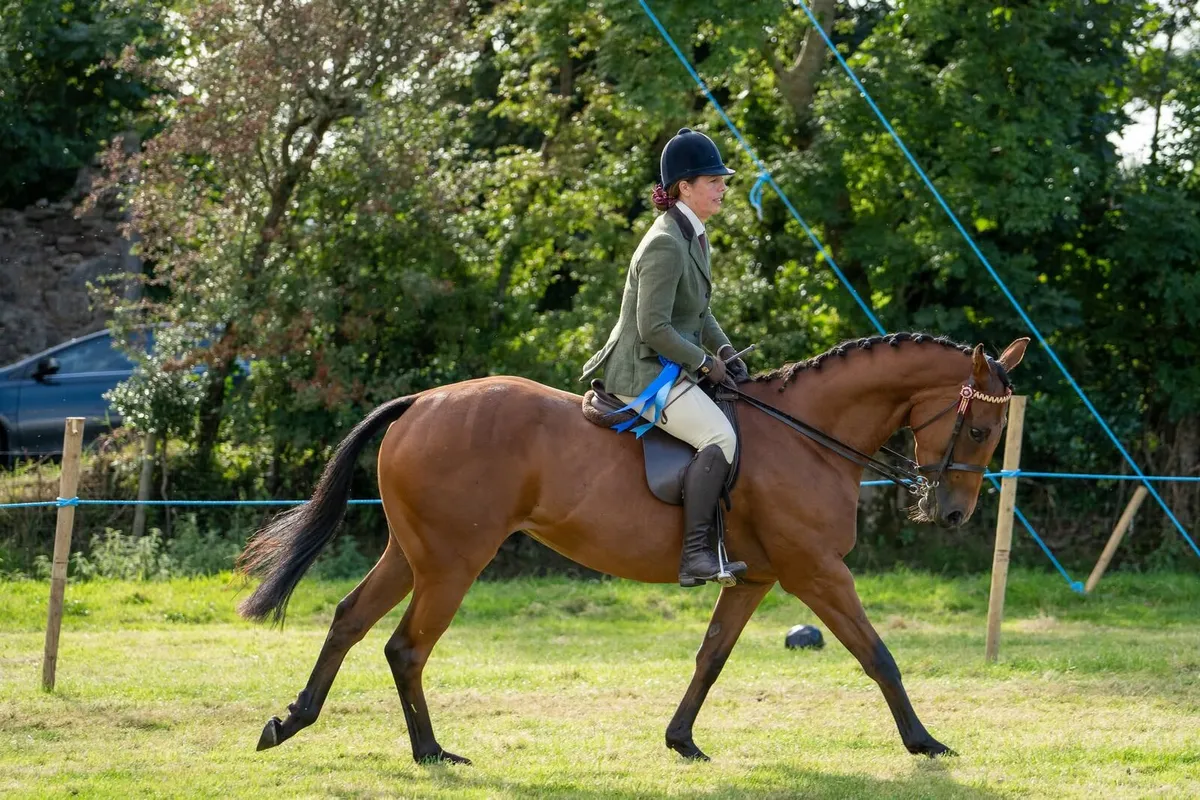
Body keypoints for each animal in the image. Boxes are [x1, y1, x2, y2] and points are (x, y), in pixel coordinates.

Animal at [237, 332, 1029, 763]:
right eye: (979, 430)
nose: (952, 514)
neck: (810, 436)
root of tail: (421, 402)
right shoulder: (817, 572)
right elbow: (878, 655)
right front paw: (925, 742)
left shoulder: (756, 579)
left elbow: (711, 657)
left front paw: (682, 740)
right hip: (454, 562)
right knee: (405, 647)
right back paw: (432, 752)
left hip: (415, 554)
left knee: (348, 618)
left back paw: (291, 721)